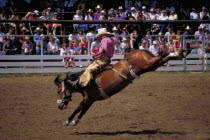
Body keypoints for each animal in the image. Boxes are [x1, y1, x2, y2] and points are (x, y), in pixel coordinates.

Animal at [53, 47, 190, 126]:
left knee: (162, 56)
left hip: (148, 63)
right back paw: (182, 52)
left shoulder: (88, 98)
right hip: (151, 66)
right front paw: (75, 121)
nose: (59, 105)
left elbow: (77, 108)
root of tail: (139, 51)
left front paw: (68, 121)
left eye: (59, 90)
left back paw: (181, 51)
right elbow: (83, 110)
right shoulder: (91, 100)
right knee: (163, 58)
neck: (83, 81)